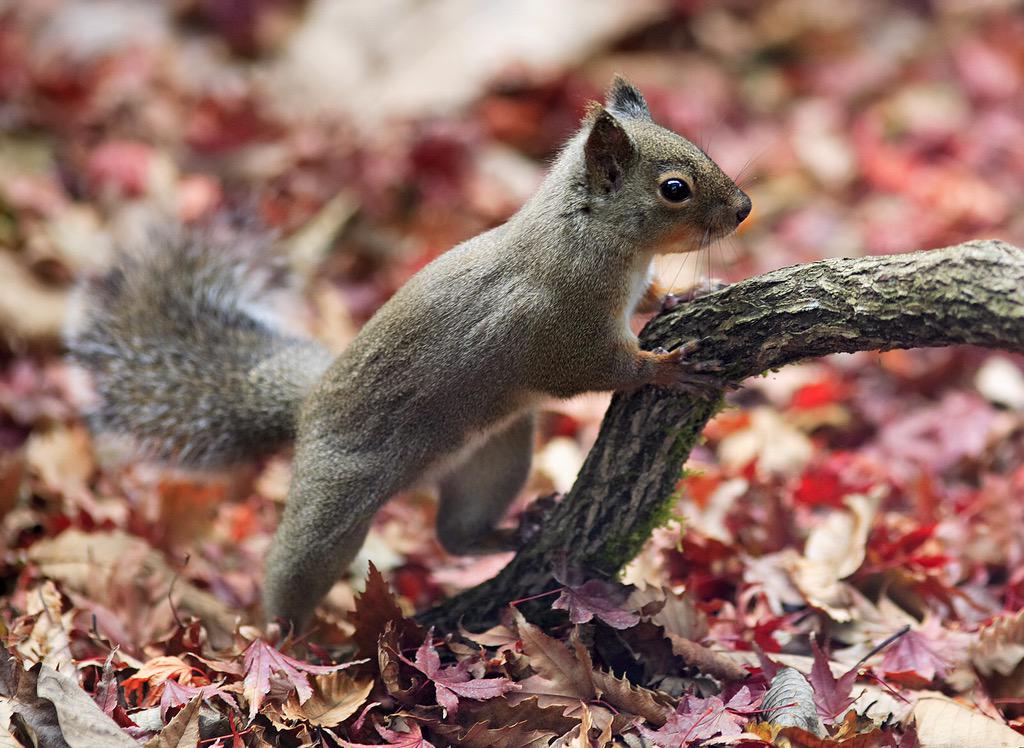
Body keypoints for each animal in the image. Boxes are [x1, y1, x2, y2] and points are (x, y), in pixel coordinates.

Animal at [67, 77, 751, 631]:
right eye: (674, 188)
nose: (744, 209)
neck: (591, 235)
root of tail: (306, 409)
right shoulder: (559, 330)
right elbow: (594, 369)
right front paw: (666, 369)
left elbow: (652, 298)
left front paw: (687, 291)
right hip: (335, 501)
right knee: (295, 565)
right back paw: (283, 642)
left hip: (495, 457)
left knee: (456, 534)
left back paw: (516, 528)